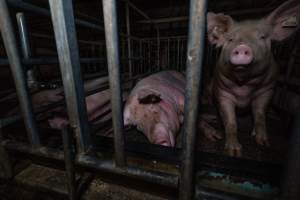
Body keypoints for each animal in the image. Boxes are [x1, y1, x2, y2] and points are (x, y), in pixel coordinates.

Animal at [206, 0, 300, 156]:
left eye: (262, 37)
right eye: (230, 39)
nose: (242, 47)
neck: (244, 84)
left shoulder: (267, 89)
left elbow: (260, 114)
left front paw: (263, 143)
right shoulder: (222, 91)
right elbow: (230, 121)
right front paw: (234, 152)